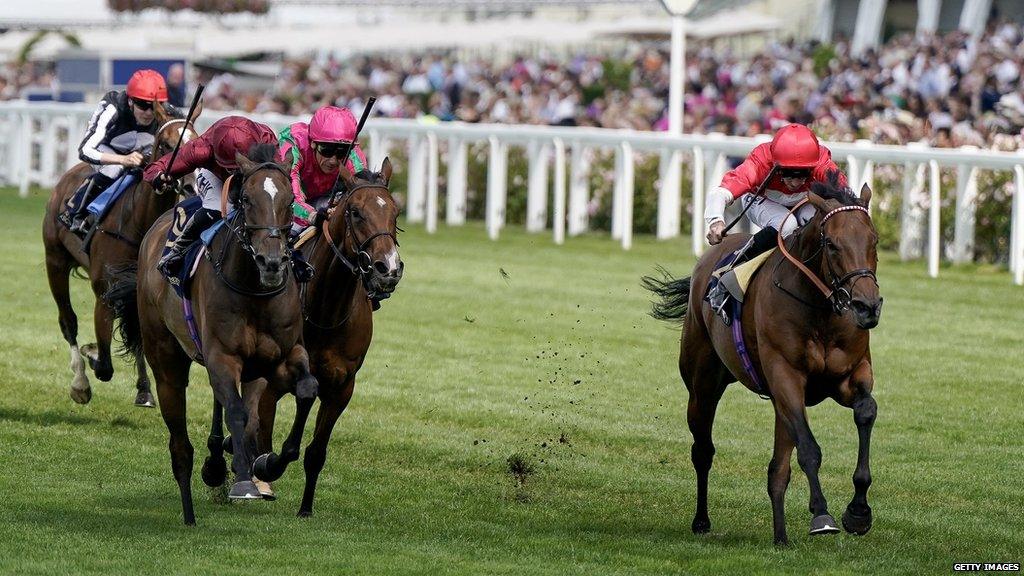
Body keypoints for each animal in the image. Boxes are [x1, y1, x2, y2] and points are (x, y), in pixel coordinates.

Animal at [43, 99, 200, 403]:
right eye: (166, 144)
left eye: (196, 140)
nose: (191, 185)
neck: (138, 222)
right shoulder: (105, 292)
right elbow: (104, 364)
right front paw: (91, 353)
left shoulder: (136, 289)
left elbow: (136, 333)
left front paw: (144, 388)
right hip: (54, 259)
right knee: (68, 320)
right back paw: (80, 382)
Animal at [106, 144, 315, 524]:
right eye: (246, 199)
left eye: (290, 199)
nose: (272, 262)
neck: (254, 291)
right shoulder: (222, 356)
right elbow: (237, 411)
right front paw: (244, 480)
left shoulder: (283, 354)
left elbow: (306, 390)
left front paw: (270, 462)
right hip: (167, 359)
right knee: (180, 439)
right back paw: (190, 509)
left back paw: (218, 463)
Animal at [243, 157, 403, 516]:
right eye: (355, 212)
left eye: (396, 212)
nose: (388, 268)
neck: (325, 311)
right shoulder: (280, 376)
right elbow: (270, 430)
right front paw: (265, 468)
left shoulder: (341, 386)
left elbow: (315, 451)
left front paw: (305, 508)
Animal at [647, 172, 880, 545]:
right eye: (832, 244)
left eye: (874, 240)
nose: (867, 306)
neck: (820, 309)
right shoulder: (786, 377)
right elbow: (809, 449)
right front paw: (822, 514)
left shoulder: (849, 376)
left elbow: (865, 411)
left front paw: (858, 512)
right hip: (702, 385)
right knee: (703, 450)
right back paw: (701, 521)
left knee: (778, 468)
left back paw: (781, 537)